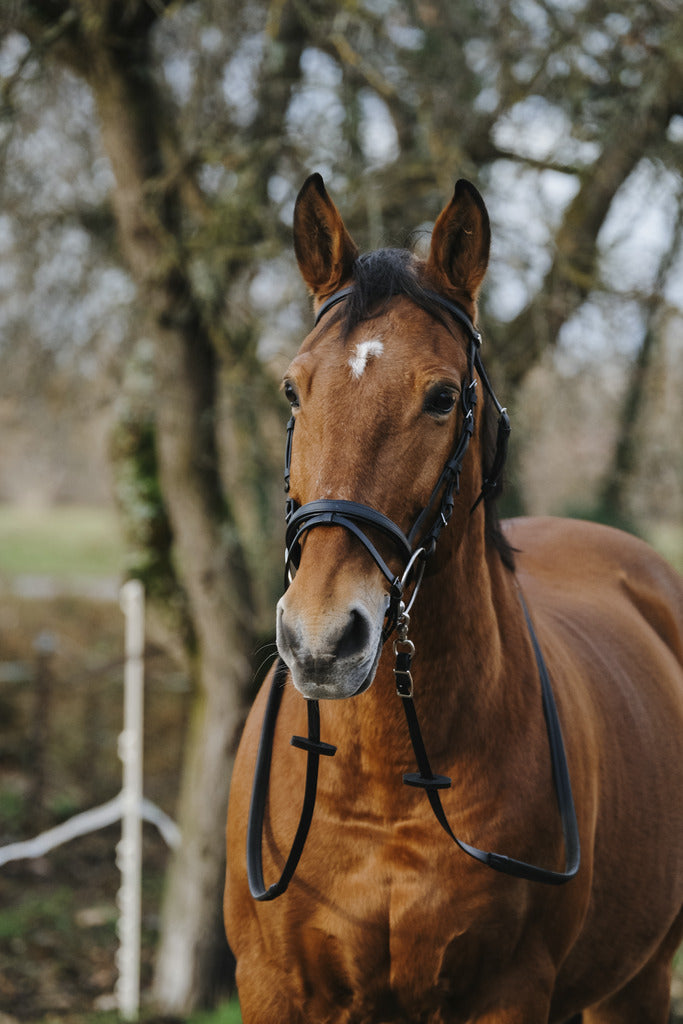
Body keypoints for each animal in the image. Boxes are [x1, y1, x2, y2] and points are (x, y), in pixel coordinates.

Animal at [225, 172, 683, 1019]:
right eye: (293, 390)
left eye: (441, 397)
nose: (320, 640)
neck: (384, 780)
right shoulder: (272, 987)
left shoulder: (508, 992)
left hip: (635, 983)